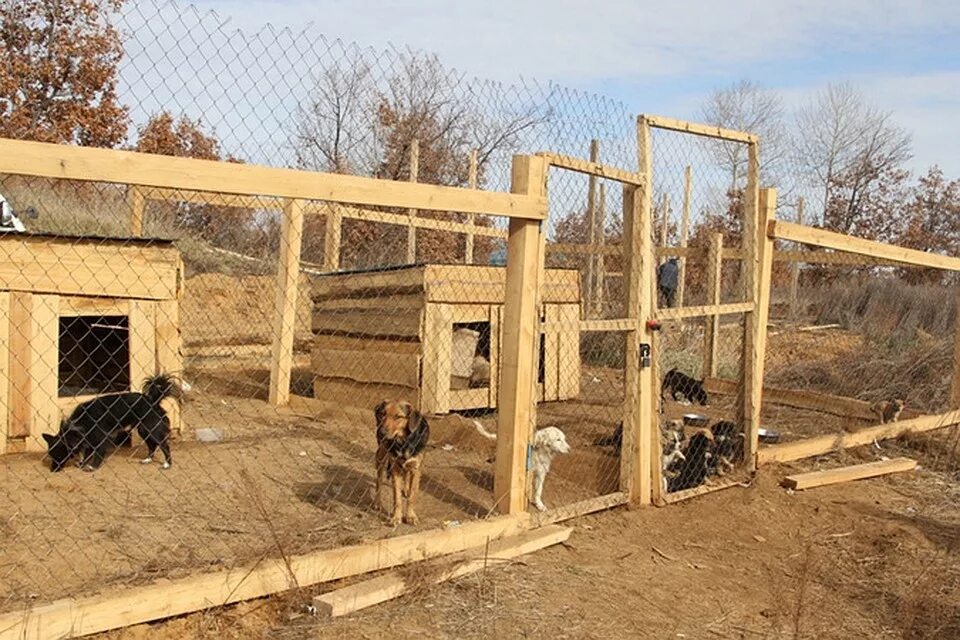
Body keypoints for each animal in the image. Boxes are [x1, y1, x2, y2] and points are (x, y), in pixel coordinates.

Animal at [41, 372, 181, 472]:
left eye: (59, 456)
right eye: (52, 456)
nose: (52, 470)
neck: (79, 424)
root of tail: (151, 400)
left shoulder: (100, 438)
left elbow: (97, 454)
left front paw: (92, 467)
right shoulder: (89, 438)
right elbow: (87, 453)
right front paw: (82, 463)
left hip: (151, 429)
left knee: (164, 445)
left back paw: (167, 464)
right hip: (143, 430)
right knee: (152, 446)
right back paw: (147, 460)